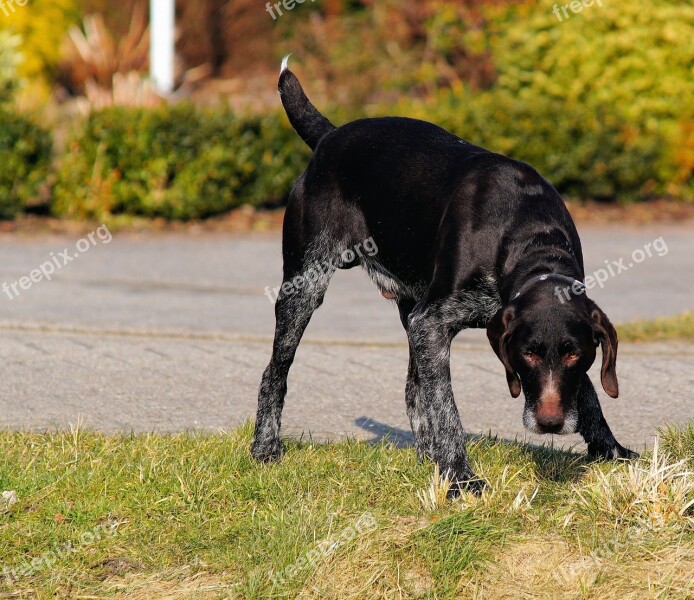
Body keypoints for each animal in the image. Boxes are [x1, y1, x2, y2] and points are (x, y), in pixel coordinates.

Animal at [253, 58, 640, 494]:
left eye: (575, 353)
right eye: (527, 354)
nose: (550, 423)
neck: (527, 237)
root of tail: (330, 136)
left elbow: (589, 394)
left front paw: (611, 449)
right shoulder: (432, 322)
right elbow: (446, 408)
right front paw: (460, 477)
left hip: (407, 305)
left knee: (411, 390)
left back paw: (427, 455)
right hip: (305, 286)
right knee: (275, 371)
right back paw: (265, 447)